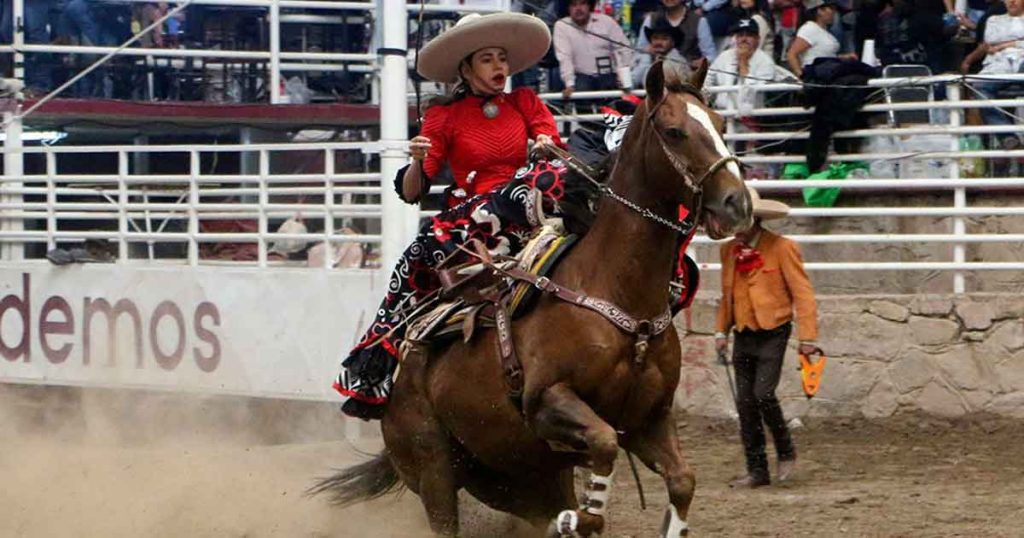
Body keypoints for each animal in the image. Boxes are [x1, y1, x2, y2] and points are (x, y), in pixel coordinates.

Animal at [311, 60, 753, 532]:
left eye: (720, 124)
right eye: (673, 131)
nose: (737, 203)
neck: (620, 297)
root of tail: (397, 374)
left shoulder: (648, 420)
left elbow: (683, 480)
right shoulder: (547, 402)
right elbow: (602, 446)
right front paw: (583, 517)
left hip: (515, 478)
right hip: (433, 471)